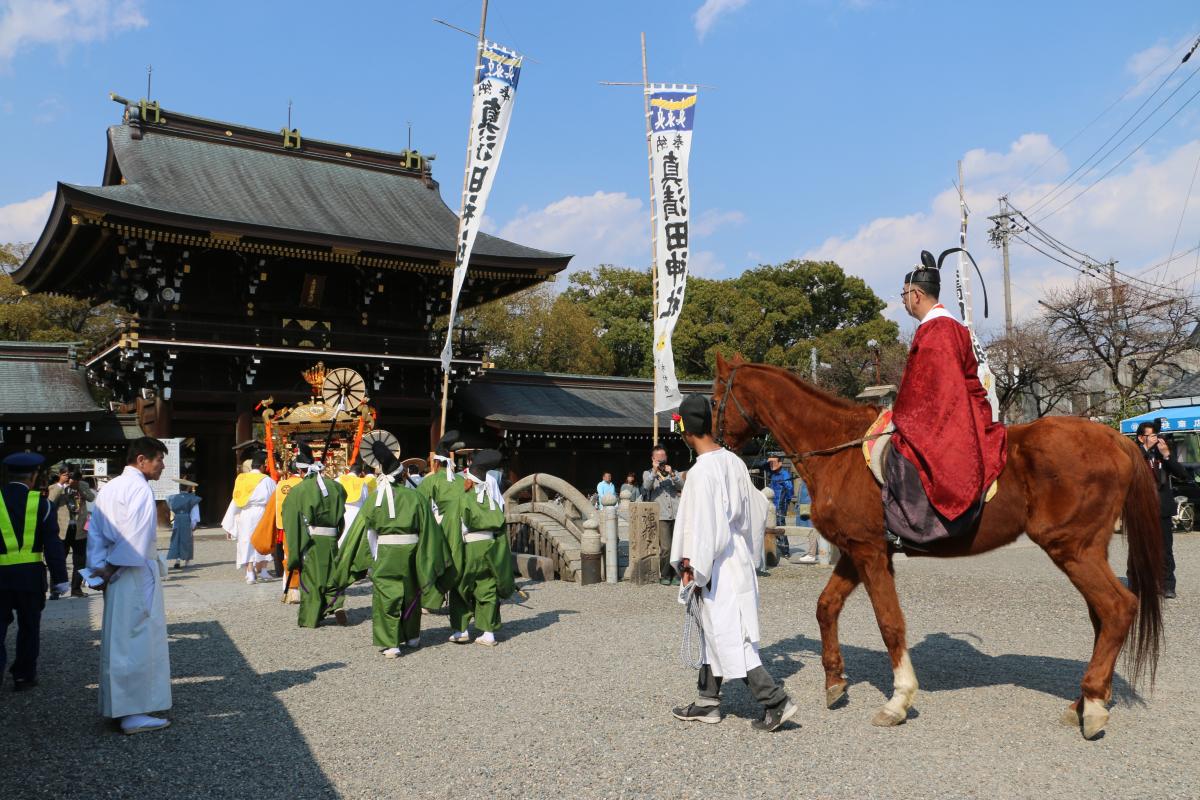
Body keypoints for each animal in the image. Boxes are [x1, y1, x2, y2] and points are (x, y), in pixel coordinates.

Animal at [710, 352, 1161, 743]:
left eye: (714, 399)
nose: (713, 444)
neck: (838, 451)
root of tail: (1115, 438)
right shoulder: (858, 552)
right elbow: (826, 607)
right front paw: (835, 681)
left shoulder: (870, 552)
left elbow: (890, 623)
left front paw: (898, 700)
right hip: (1087, 550)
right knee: (1103, 617)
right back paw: (1084, 702)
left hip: (1073, 549)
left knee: (1117, 608)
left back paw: (1094, 708)